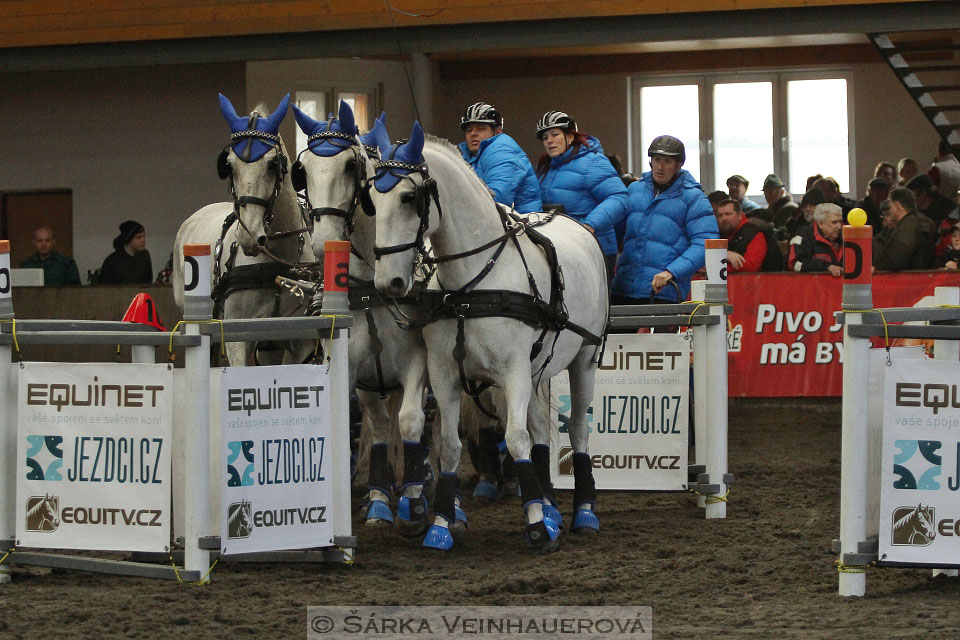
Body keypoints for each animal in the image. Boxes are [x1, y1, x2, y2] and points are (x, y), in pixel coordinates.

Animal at [290, 99, 436, 528]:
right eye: (303, 171)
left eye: (350, 167)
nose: (323, 242)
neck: (372, 285)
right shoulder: (351, 369)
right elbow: (357, 425)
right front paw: (376, 500)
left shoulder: (418, 361)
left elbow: (411, 420)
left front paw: (415, 496)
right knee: (382, 422)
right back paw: (381, 494)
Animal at [370, 124, 604, 552]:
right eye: (372, 200)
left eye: (410, 197)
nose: (388, 283)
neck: (472, 282)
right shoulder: (444, 372)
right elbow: (450, 445)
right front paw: (441, 524)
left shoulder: (513, 372)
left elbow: (515, 439)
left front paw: (536, 527)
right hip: (536, 371)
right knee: (540, 430)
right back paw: (550, 505)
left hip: (583, 359)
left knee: (577, 429)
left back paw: (583, 511)